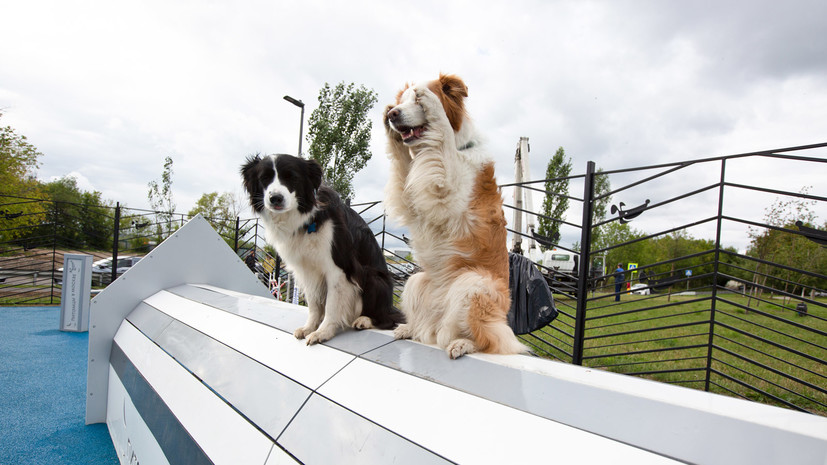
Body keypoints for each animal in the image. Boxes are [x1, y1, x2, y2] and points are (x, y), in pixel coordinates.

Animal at [384, 74, 528, 358]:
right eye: (400, 102)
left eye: (416, 99)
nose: (393, 114)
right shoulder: (413, 198)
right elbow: (404, 166)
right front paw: (391, 134)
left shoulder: (446, 190)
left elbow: (444, 138)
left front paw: (433, 105)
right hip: (416, 281)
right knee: (427, 329)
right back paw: (410, 329)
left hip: (472, 283)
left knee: (489, 340)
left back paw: (462, 343)